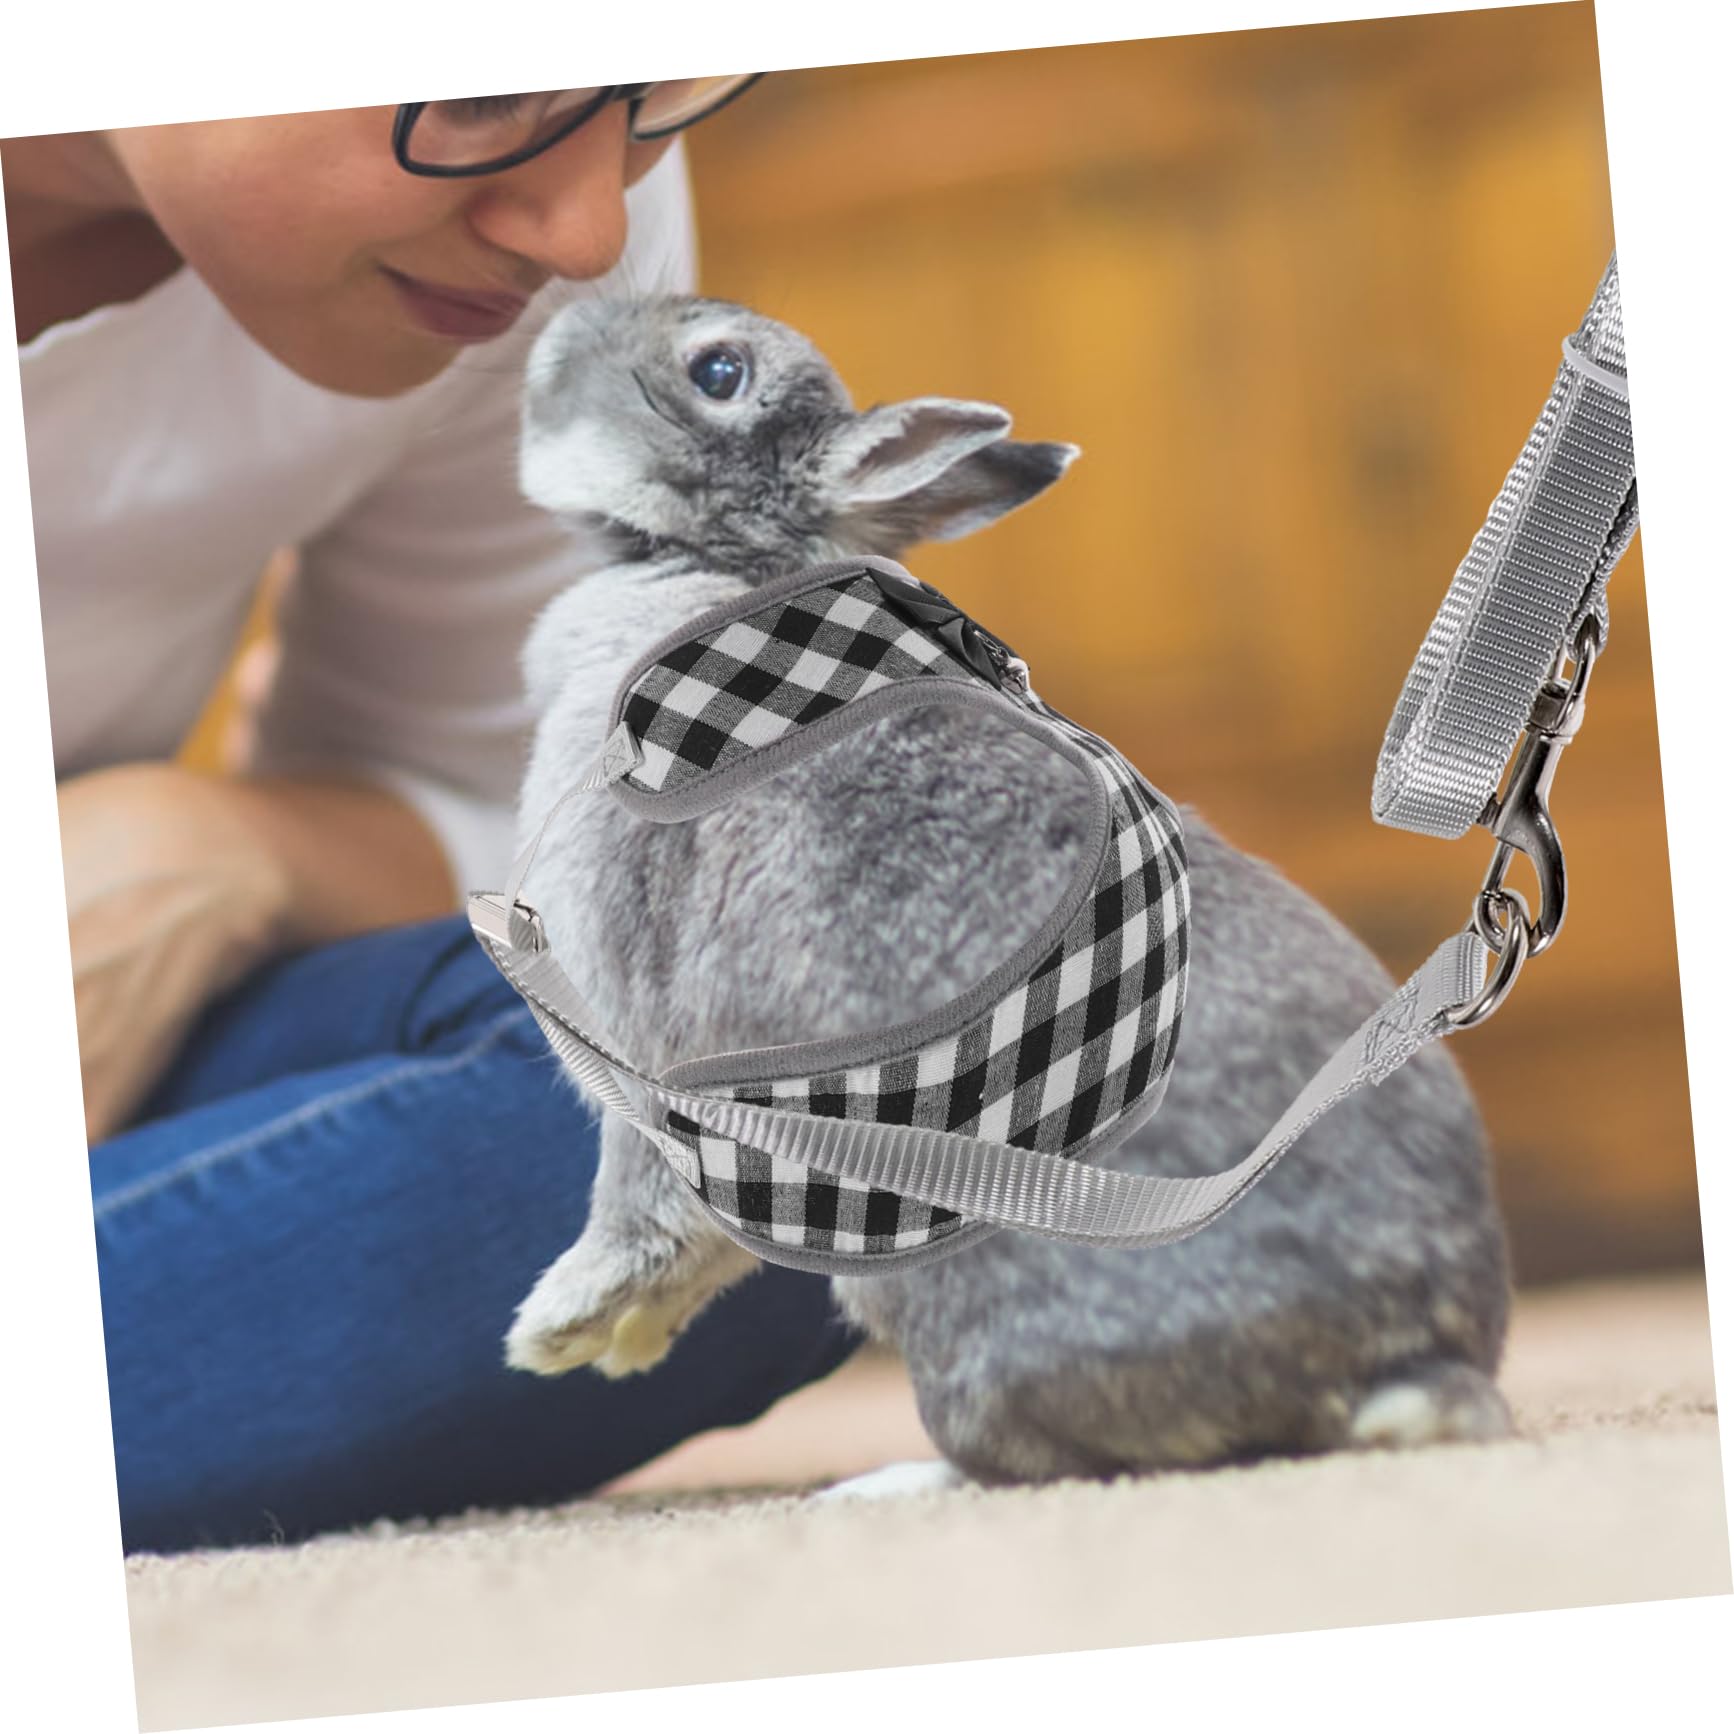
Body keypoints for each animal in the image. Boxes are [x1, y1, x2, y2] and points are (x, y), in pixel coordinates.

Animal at [499, 291, 1514, 1491]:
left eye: (718, 370)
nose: (565, 312)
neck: (730, 569)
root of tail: (1397, 1363)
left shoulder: (634, 1021)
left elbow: (644, 1199)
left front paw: (556, 1333)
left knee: (1024, 1459)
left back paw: (891, 1484)